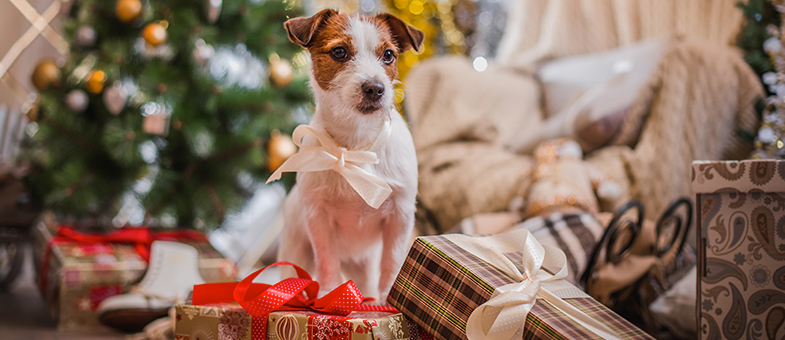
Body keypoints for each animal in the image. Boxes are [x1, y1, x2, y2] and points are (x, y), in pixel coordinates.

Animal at [276, 9, 422, 302]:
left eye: (388, 55)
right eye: (340, 52)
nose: (375, 88)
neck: (357, 148)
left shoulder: (400, 215)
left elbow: (392, 260)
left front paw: (388, 297)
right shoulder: (318, 217)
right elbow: (327, 260)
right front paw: (331, 293)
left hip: (364, 263)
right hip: (295, 250)